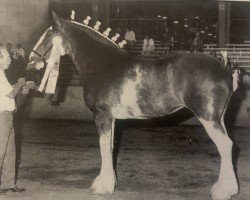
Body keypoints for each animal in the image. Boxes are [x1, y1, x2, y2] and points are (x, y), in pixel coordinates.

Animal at [28, 11, 239, 199]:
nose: (31, 61)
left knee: (225, 145)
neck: (103, 65)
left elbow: (103, 147)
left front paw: (103, 187)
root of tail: (223, 67)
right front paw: (108, 182)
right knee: (227, 145)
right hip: (219, 118)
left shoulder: (102, 116)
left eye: (48, 35)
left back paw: (224, 191)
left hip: (208, 118)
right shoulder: (112, 119)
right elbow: (110, 147)